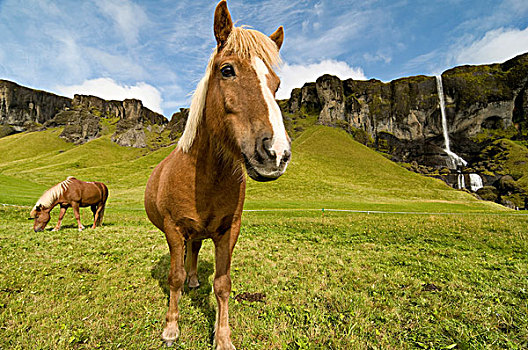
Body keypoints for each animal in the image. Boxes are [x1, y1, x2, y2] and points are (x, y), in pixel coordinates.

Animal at [144, 1, 290, 348]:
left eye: (276, 83)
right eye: (227, 70)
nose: (276, 153)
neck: (205, 177)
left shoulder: (228, 231)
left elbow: (222, 284)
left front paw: (222, 336)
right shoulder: (173, 229)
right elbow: (174, 277)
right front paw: (171, 327)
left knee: (195, 252)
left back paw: (195, 279)